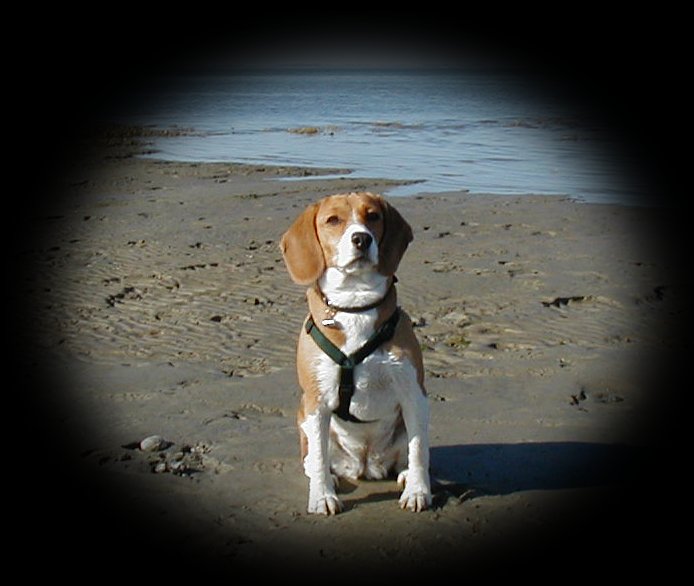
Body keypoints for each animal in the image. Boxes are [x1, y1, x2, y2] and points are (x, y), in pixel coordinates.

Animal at [280, 190, 432, 512]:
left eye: (372, 216)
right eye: (333, 220)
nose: (361, 238)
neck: (355, 303)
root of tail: (365, 463)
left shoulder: (414, 394)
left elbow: (418, 450)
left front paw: (417, 490)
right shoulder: (316, 402)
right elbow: (320, 458)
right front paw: (322, 497)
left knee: (407, 453)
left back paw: (404, 475)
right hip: (305, 419)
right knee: (313, 459)